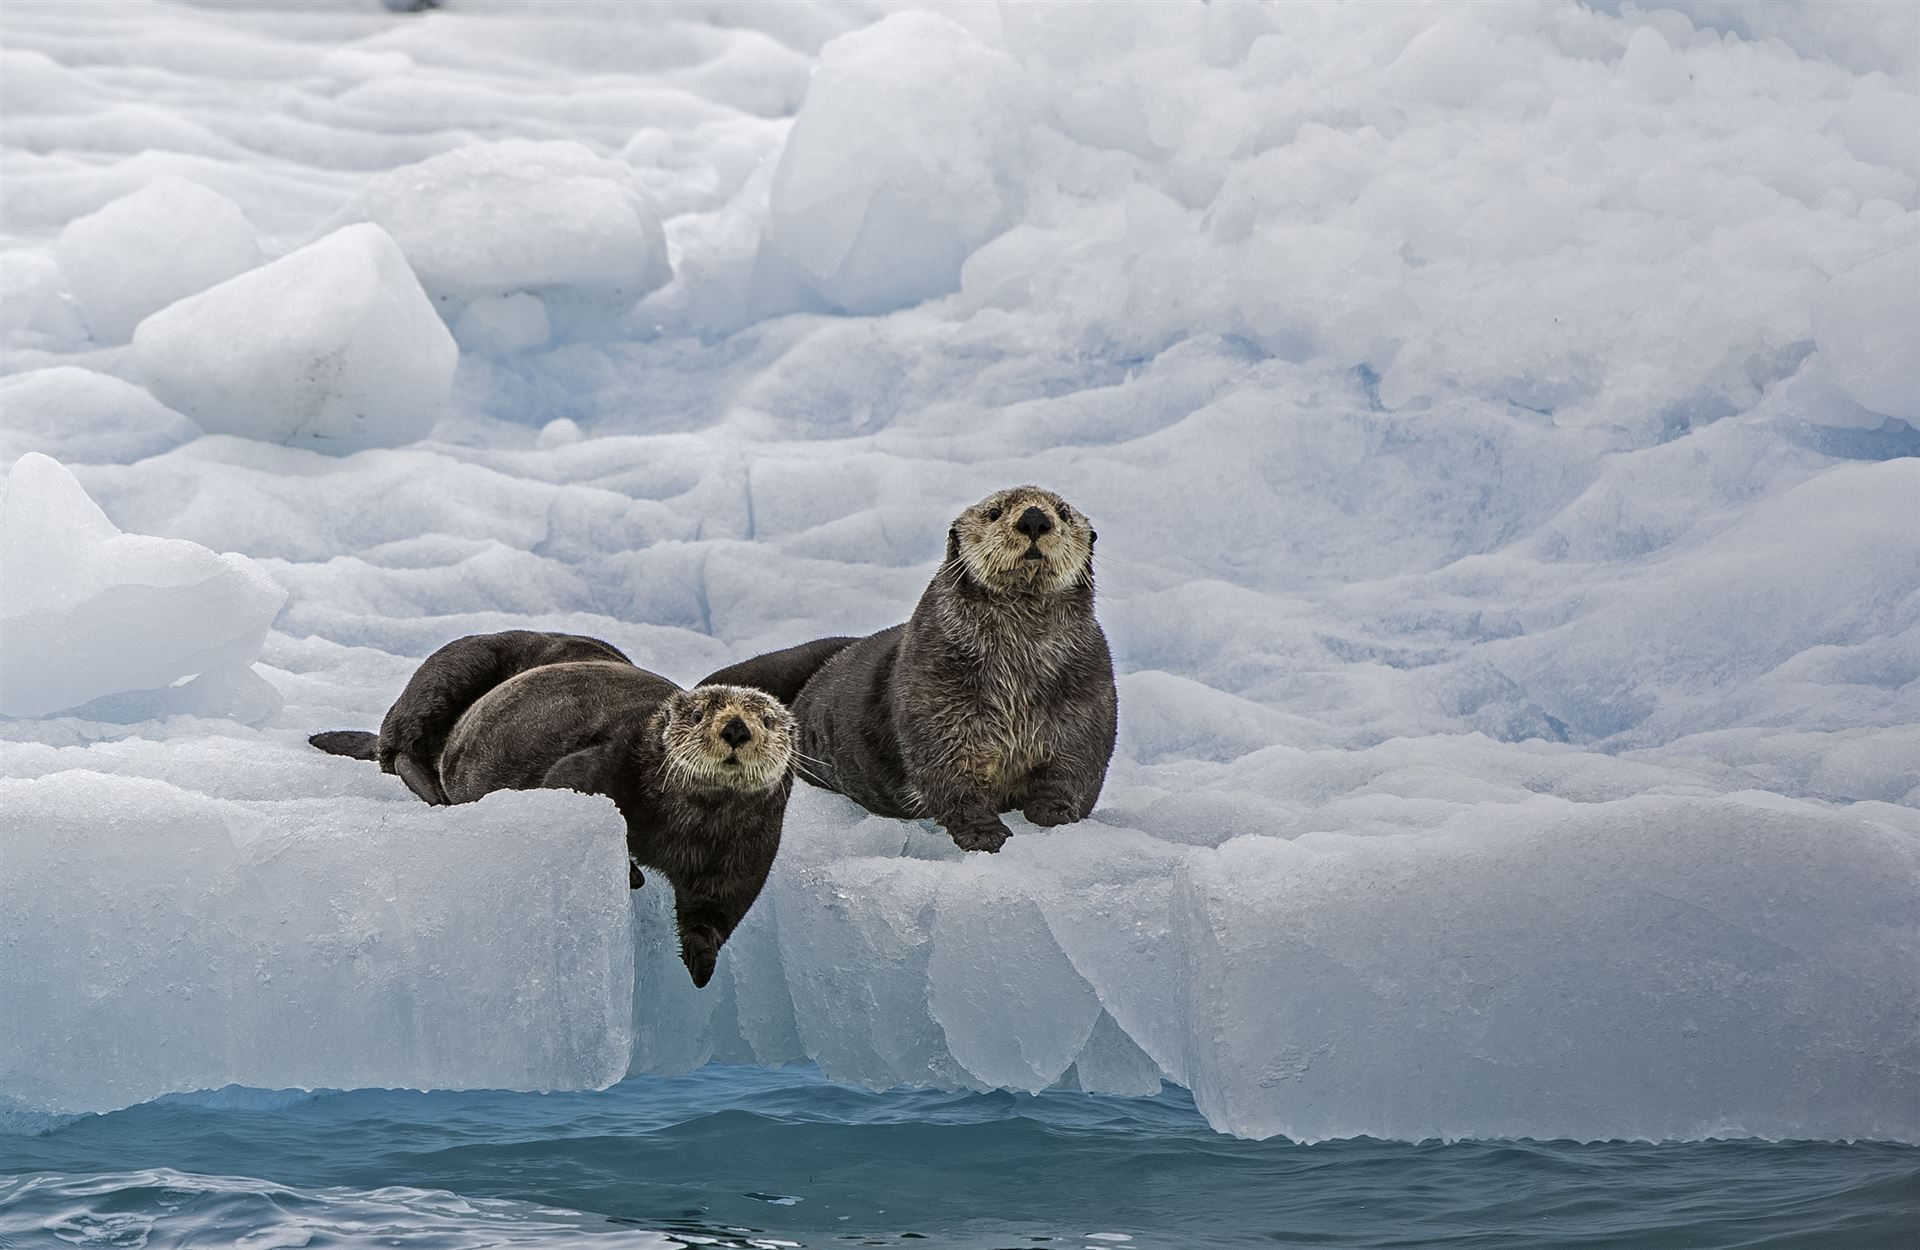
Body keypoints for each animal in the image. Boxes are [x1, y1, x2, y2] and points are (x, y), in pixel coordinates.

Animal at [310, 631, 795, 986]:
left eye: (768, 720)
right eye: (698, 714)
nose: (736, 728)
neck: (691, 823)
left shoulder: (746, 849)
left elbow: (717, 908)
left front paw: (701, 964)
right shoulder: (600, 765)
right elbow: (566, 783)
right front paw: (633, 874)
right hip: (450, 670)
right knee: (397, 747)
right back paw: (433, 787)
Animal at [702, 486, 1116, 852]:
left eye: (1063, 512)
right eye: (994, 512)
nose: (1034, 518)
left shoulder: (1088, 692)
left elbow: (1077, 766)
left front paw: (1056, 812)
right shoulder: (933, 692)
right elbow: (949, 775)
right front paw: (983, 833)